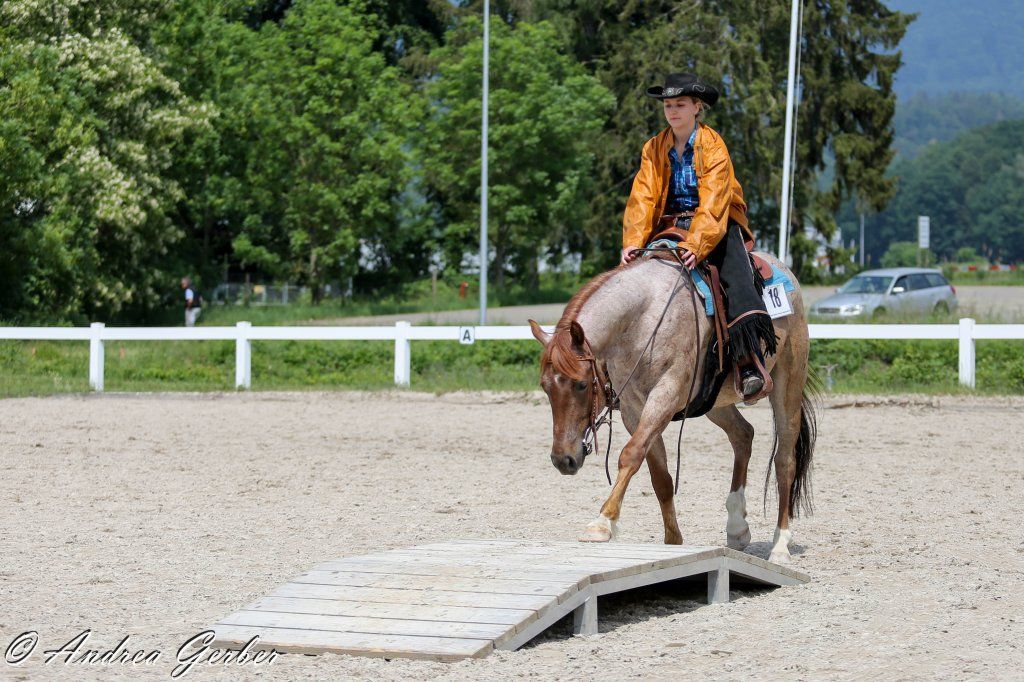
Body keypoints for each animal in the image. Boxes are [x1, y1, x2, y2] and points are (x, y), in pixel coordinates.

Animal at [528, 252, 818, 564]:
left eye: (581, 385)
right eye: (545, 386)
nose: (563, 460)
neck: (644, 318)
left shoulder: (665, 395)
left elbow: (630, 455)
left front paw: (602, 523)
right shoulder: (634, 408)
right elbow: (660, 477)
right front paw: (673, 540)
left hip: (788, 385)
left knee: (784, 460)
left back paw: (780, 545)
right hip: (714, 401)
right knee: (743, 434)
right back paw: (737, 528)